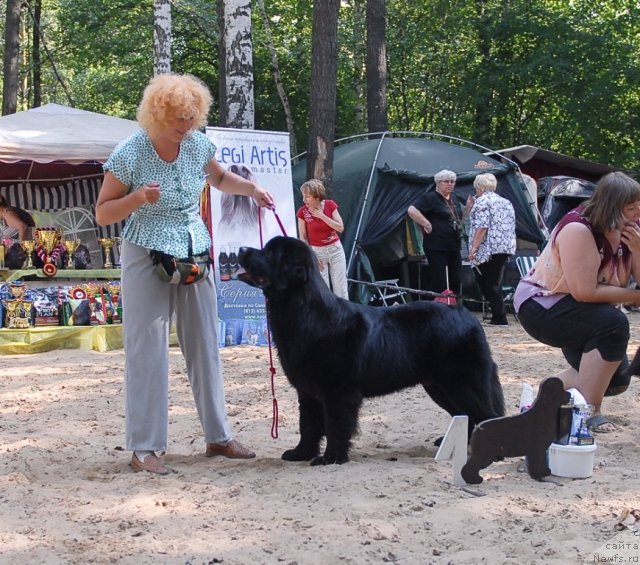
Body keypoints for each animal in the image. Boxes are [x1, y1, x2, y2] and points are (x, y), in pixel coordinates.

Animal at [238, 236, 502, 464]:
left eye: (270, 253)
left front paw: (331, 458)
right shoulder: (307, 392)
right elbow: (308, 426)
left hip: (463, 385)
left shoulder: (337, 392)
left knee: (485, 415)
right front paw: (300, 453)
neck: (305, 312)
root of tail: (468, 316)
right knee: (466, 416)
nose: (241, 249)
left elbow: (335, 426)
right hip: (439, 387)